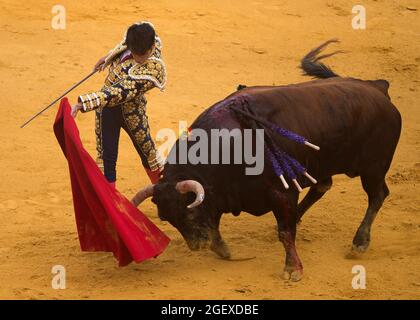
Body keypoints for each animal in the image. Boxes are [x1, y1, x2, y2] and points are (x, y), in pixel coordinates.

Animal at [133, 41, 402, 282]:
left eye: (188, 214)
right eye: (168, 219)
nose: (198, 245)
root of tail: (378, 87)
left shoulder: (281, 192)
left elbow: (285, 232)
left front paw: (293, 269)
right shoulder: (220, 193)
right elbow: (216, 221)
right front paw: (223, 249)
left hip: (373, 168)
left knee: (377, 195)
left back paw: (360, 242)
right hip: (323, 163)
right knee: (323, 186)